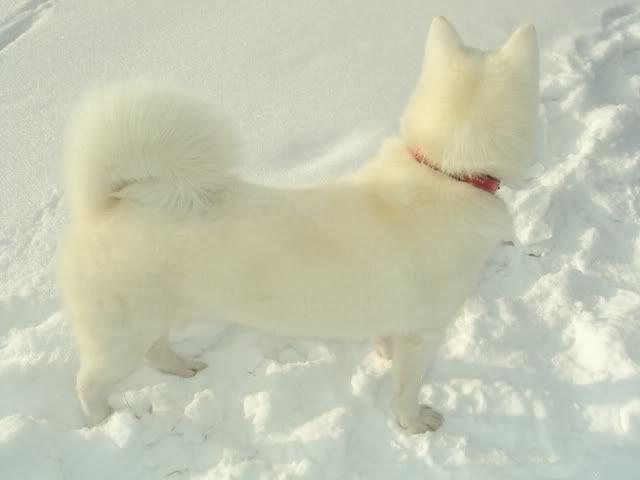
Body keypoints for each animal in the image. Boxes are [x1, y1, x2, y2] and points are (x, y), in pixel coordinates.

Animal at [59, 17, 539, 433]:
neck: (446, 170)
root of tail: (106, 203)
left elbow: (384, 337)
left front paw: (382, 351)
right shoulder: (425, 334)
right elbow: (405, 390)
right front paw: (415, 423)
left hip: (157, 317)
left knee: (156, 352)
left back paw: (184, 367)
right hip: (119, 337)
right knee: (89, 382)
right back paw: (101, 421)